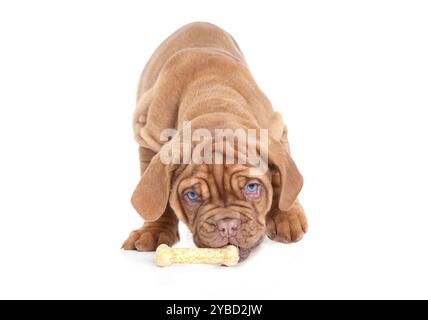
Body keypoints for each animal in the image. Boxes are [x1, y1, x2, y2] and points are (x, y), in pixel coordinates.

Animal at [122, 21, 306, 260]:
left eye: (252, 187)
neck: (213, 97)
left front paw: (287, 215)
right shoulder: (147, 138)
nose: (227, 225)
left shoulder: (276, 129)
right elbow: (159, 200)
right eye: (192, 196)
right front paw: (154, 230)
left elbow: (281, 179)